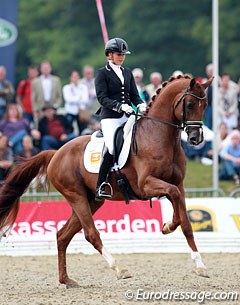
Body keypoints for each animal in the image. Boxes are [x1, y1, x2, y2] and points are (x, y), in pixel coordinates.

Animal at [0, 75, 213, 286]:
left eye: (205, 105)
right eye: (190, 104)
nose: (196, 138)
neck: (159, 136)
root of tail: (56, 153)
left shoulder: (179, 185)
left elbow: (185, 222)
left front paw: (199, 264)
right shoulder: (146, 185)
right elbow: (175, 201)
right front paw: (168, 226)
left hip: (92, 200)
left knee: (63, 235)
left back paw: (66, 279)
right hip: (76, 196)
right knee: (91, 234)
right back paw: (120, 269)